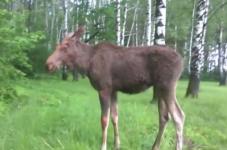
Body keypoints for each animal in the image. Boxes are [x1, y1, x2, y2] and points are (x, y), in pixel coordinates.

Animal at [45, 27, 184, 150]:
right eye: (58, 45)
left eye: (65, 45)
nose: (48, 64)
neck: (87, 63)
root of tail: (182, 60)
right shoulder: (113, 90)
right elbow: (115, 117)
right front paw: (117, 144)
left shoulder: (104, 89)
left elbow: (104, 120)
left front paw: (103, 146)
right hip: (160, 88)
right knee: (164, 117)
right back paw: (154, 146)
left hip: (167, 85)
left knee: (179, 117)